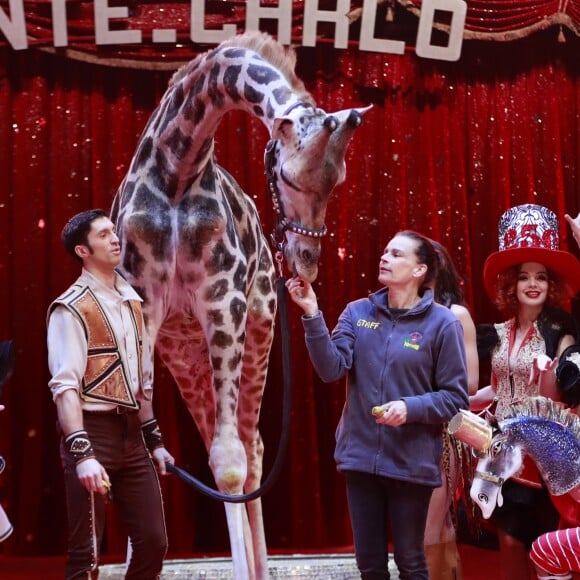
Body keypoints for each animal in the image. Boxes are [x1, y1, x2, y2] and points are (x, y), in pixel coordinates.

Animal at [110, 31, 368, 580]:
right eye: (290, 176)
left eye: (337, 181)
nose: (306, 260)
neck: (177, 170)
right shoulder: (144, 307)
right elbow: (161, 450)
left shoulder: (223, 300)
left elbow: (231, 464)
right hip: (183, 350)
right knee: (222, 446)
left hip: (259, 329)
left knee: (253, 451)